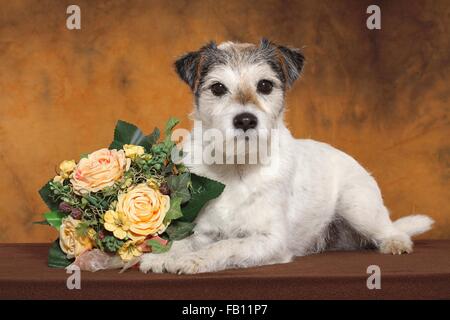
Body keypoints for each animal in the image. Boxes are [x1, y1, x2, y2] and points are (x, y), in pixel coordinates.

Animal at [140, 39, 432, 276]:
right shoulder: (203, 231)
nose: (245, 120)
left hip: (359, 206)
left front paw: (195, 259)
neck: (237, 166)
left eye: (265, 85)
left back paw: (395, 242)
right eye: (218, 88)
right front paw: (162, 257)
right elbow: (182, 242)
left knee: (389, 229)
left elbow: (226, 244)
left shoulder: (270, 239)